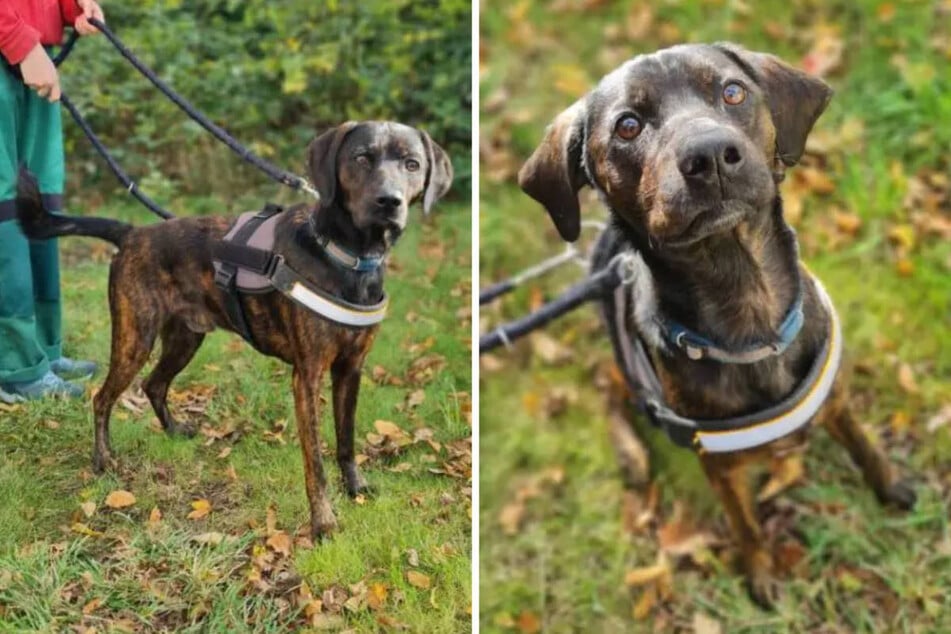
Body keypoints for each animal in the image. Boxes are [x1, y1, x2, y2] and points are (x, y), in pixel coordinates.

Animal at [15, 119, 454, 540]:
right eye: (362, 158)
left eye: (412, 164)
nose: (389, 201)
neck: (347, 255)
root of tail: (133, 233)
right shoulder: (307, 376)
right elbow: (315, 461)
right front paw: (323, 523)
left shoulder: (351, 369)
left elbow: (346, 440)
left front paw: (355, 487)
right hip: (134, 338)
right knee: (102, 398)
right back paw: (103, 459)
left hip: (186, 338)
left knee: (154, 384)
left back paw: (174, 430)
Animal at [520, 42, 916, 604]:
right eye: (627, 126)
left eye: (732, 92)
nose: (708, 156)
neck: (751, 316)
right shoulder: (719, 465)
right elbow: (746, 525)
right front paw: (763, 576)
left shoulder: (836, 398)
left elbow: (865, 445)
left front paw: (891, 485)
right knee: (605, 384)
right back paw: (631, 455)